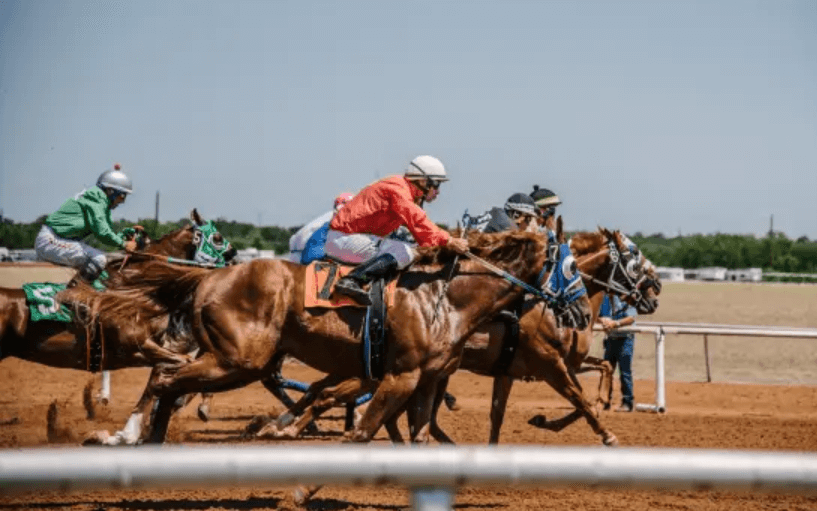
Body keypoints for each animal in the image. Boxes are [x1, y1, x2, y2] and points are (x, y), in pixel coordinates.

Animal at [86, 227, 588, 447]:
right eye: (571, 266)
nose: (583, 314)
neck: (445, 298)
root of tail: (209, 276)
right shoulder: (401, 376)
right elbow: (361, 427)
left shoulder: (423, 380)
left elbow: (418, 435)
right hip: (239, 361)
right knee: (167, 380)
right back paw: (134, 436)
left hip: (232, 358)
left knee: (169, 379)